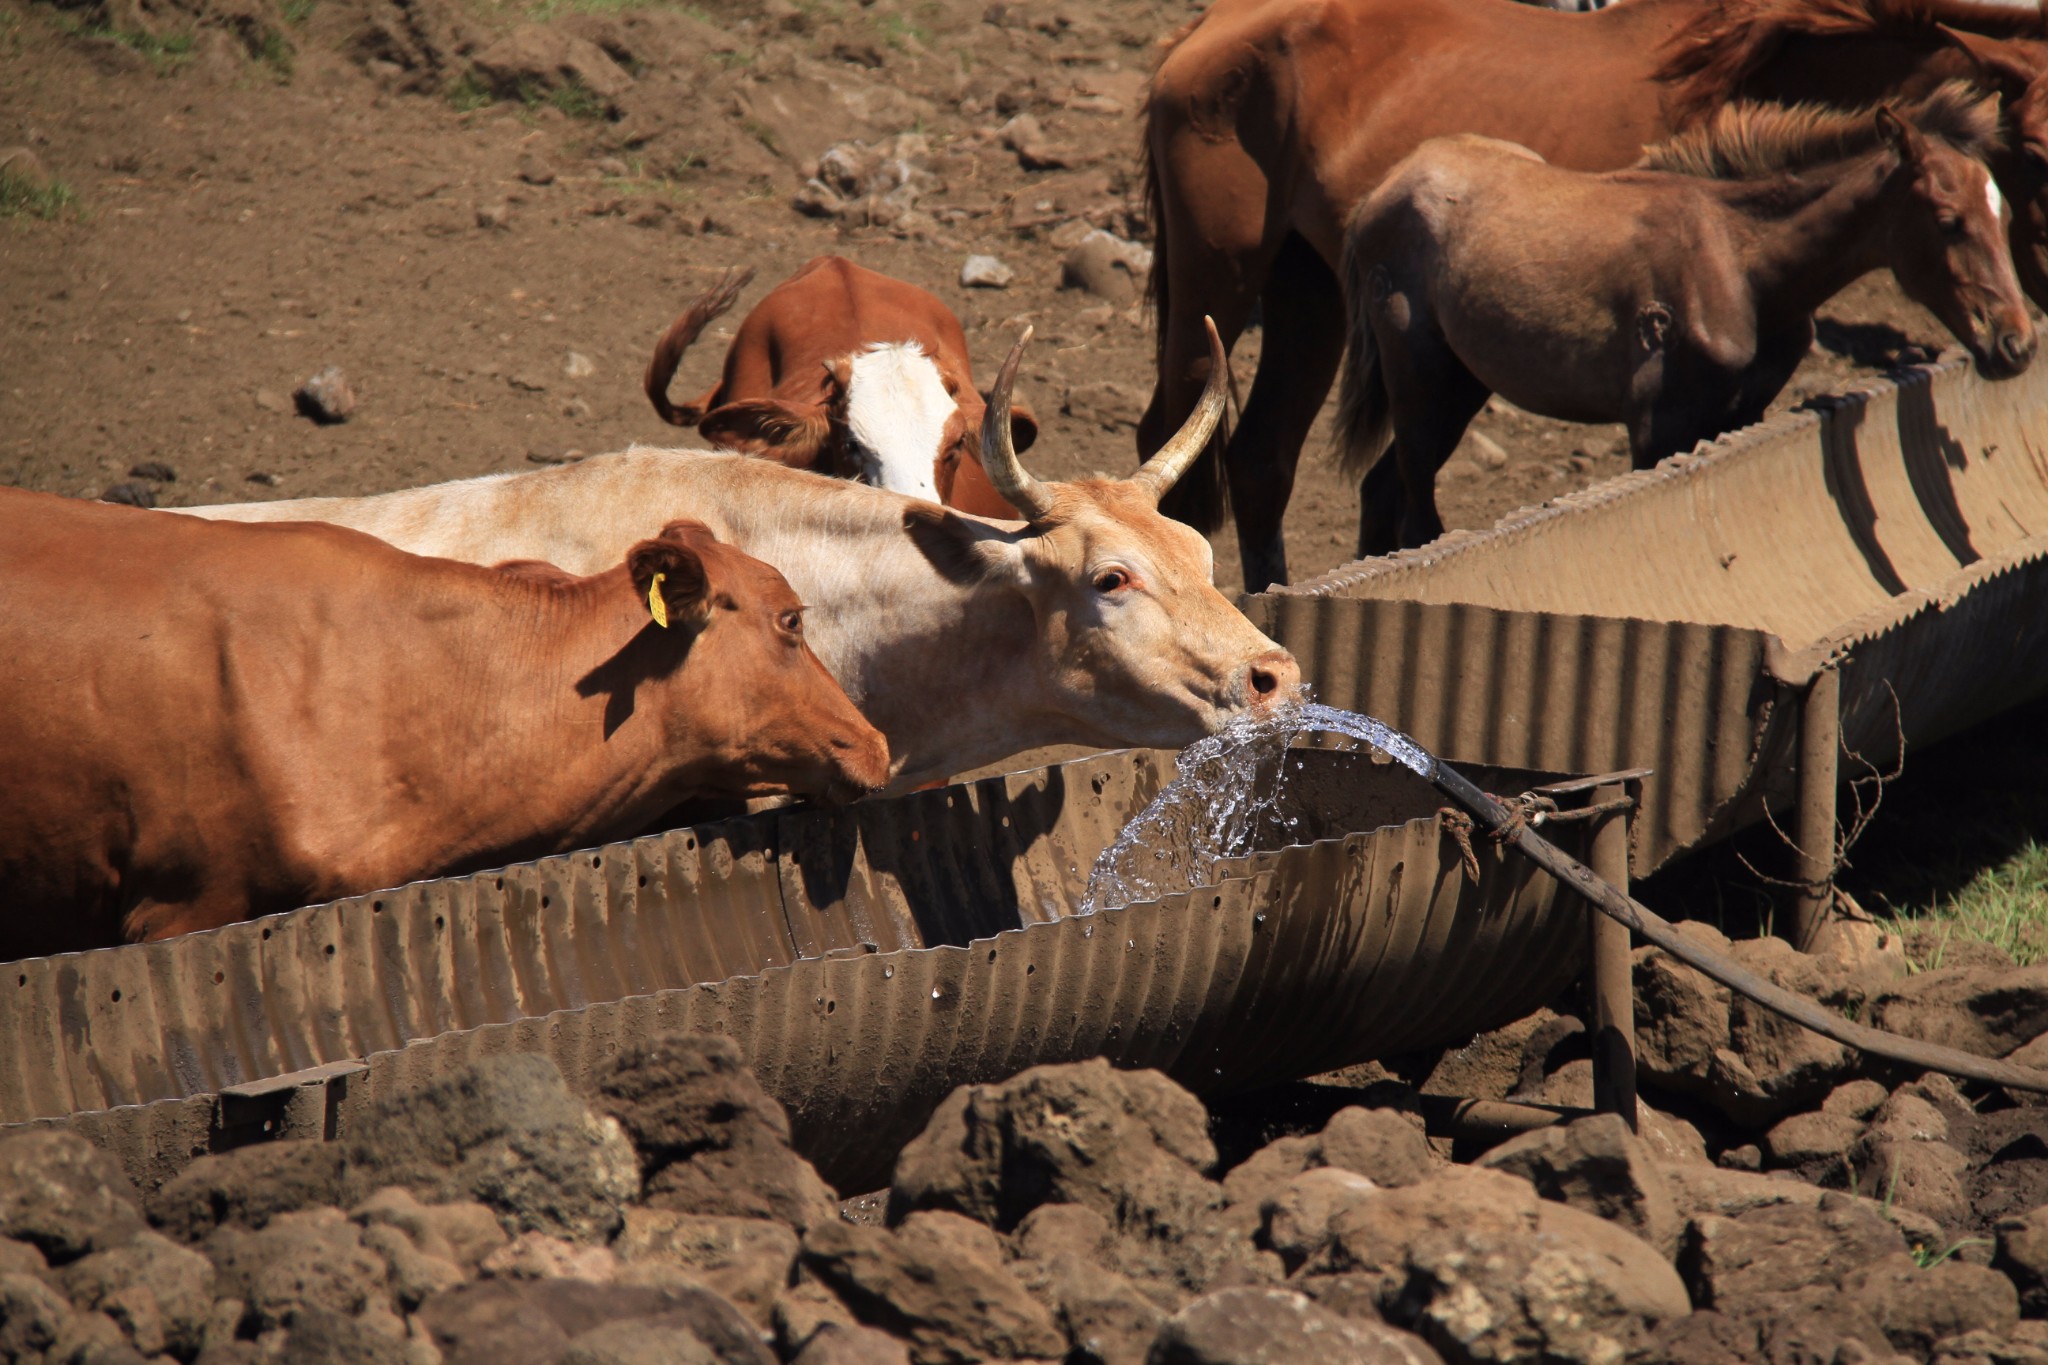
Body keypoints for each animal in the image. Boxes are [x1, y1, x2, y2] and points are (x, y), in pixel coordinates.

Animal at [1146, 0, 2048, 589]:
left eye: (2003, 204)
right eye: (1948, 218)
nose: (2015, 340)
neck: (1740, 249)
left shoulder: (1738, 412)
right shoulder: (1658, 421)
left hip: (1347, 316)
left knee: (1291, 466)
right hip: (1284, 310)